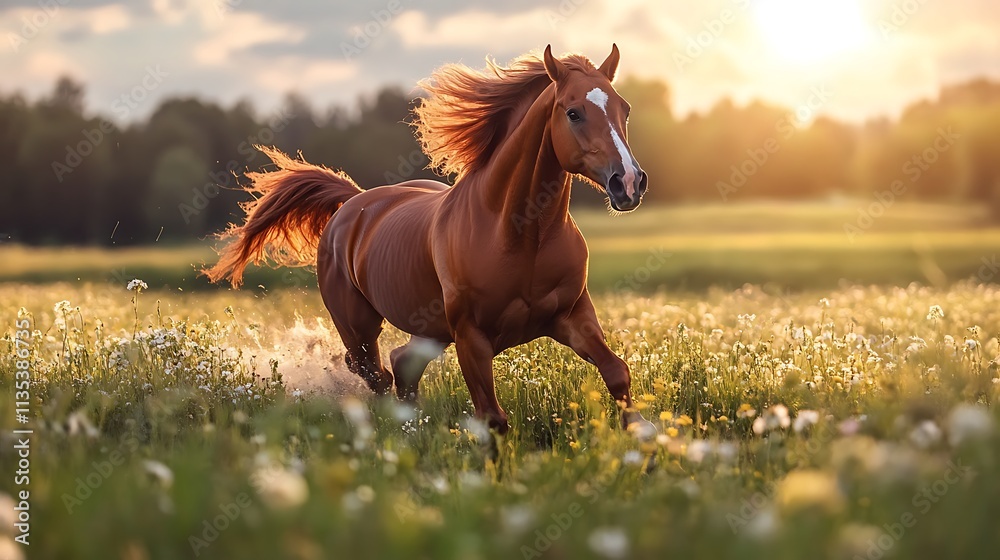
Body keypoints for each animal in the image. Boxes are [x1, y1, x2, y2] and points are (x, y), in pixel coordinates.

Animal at [204, 45, 653, 438]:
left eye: (625, 109)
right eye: (574, 112)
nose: (629, 183)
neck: (520, 235)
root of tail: (352, 202)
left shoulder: (571, 315)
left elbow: (617, 373)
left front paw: (642, 449)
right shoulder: (471, 337)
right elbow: (493, 419)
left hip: (431, 330)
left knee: (401, 366)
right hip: (359, 325)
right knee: (375, 373)